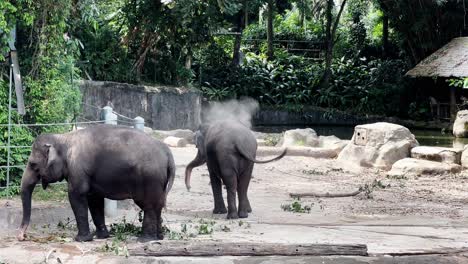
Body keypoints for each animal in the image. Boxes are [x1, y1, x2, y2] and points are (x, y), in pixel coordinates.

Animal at [16, 125, 176, 242]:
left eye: (33, 165)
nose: (22, 237)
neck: (64, 138)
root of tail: (168, 154)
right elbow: (94, 200)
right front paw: (102, 236)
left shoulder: (77, 168)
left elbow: (76, 196)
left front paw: (81, 239)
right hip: (159, 180)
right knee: (158, 205)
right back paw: (159, 237)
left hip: (149, 178)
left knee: (149, 205)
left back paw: (145, 239)